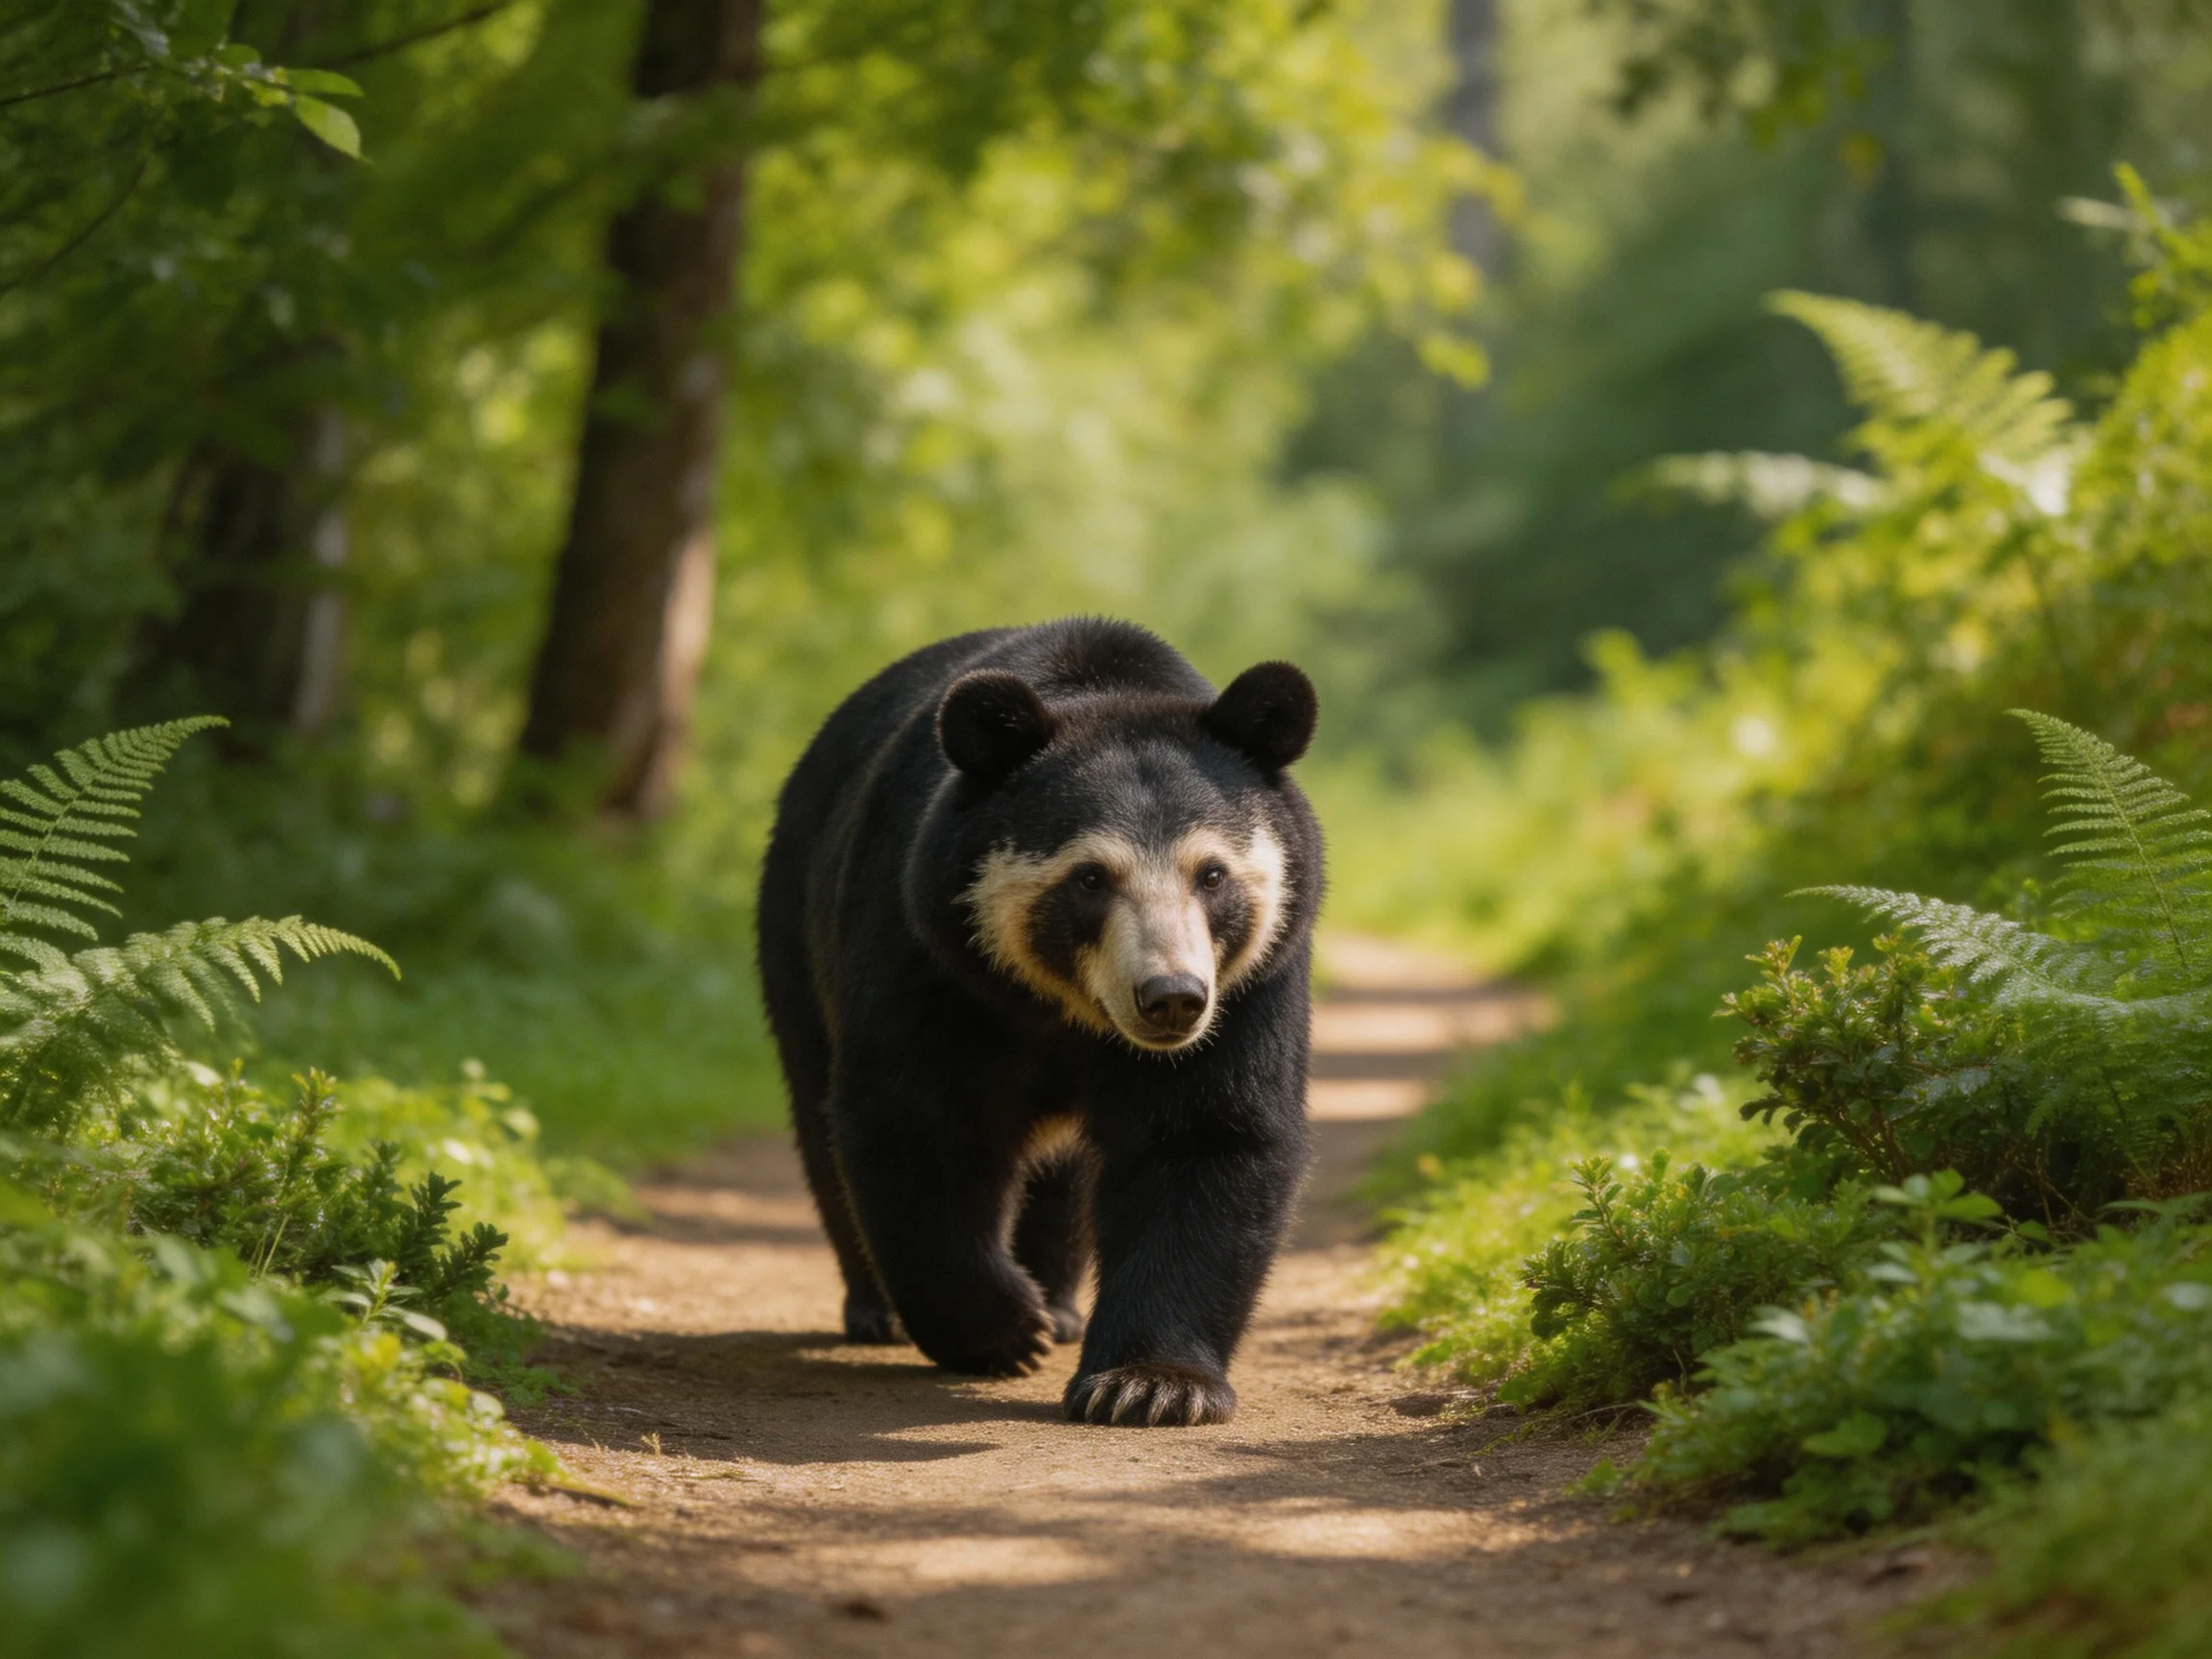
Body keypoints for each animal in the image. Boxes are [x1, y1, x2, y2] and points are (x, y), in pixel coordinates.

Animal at [756, 617, 1322, 1427]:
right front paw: (1001, 1330)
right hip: (797, 937)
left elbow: (1206, 1133)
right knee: (818, 1112)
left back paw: (1057, 1305)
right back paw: (880, 1308)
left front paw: (1148, 1386)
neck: (1066, 1011)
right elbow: (919, 1119)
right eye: (1090, 877)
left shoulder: (1251, 983)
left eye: (1211, 874)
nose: (1171, 998)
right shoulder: (928, 951)